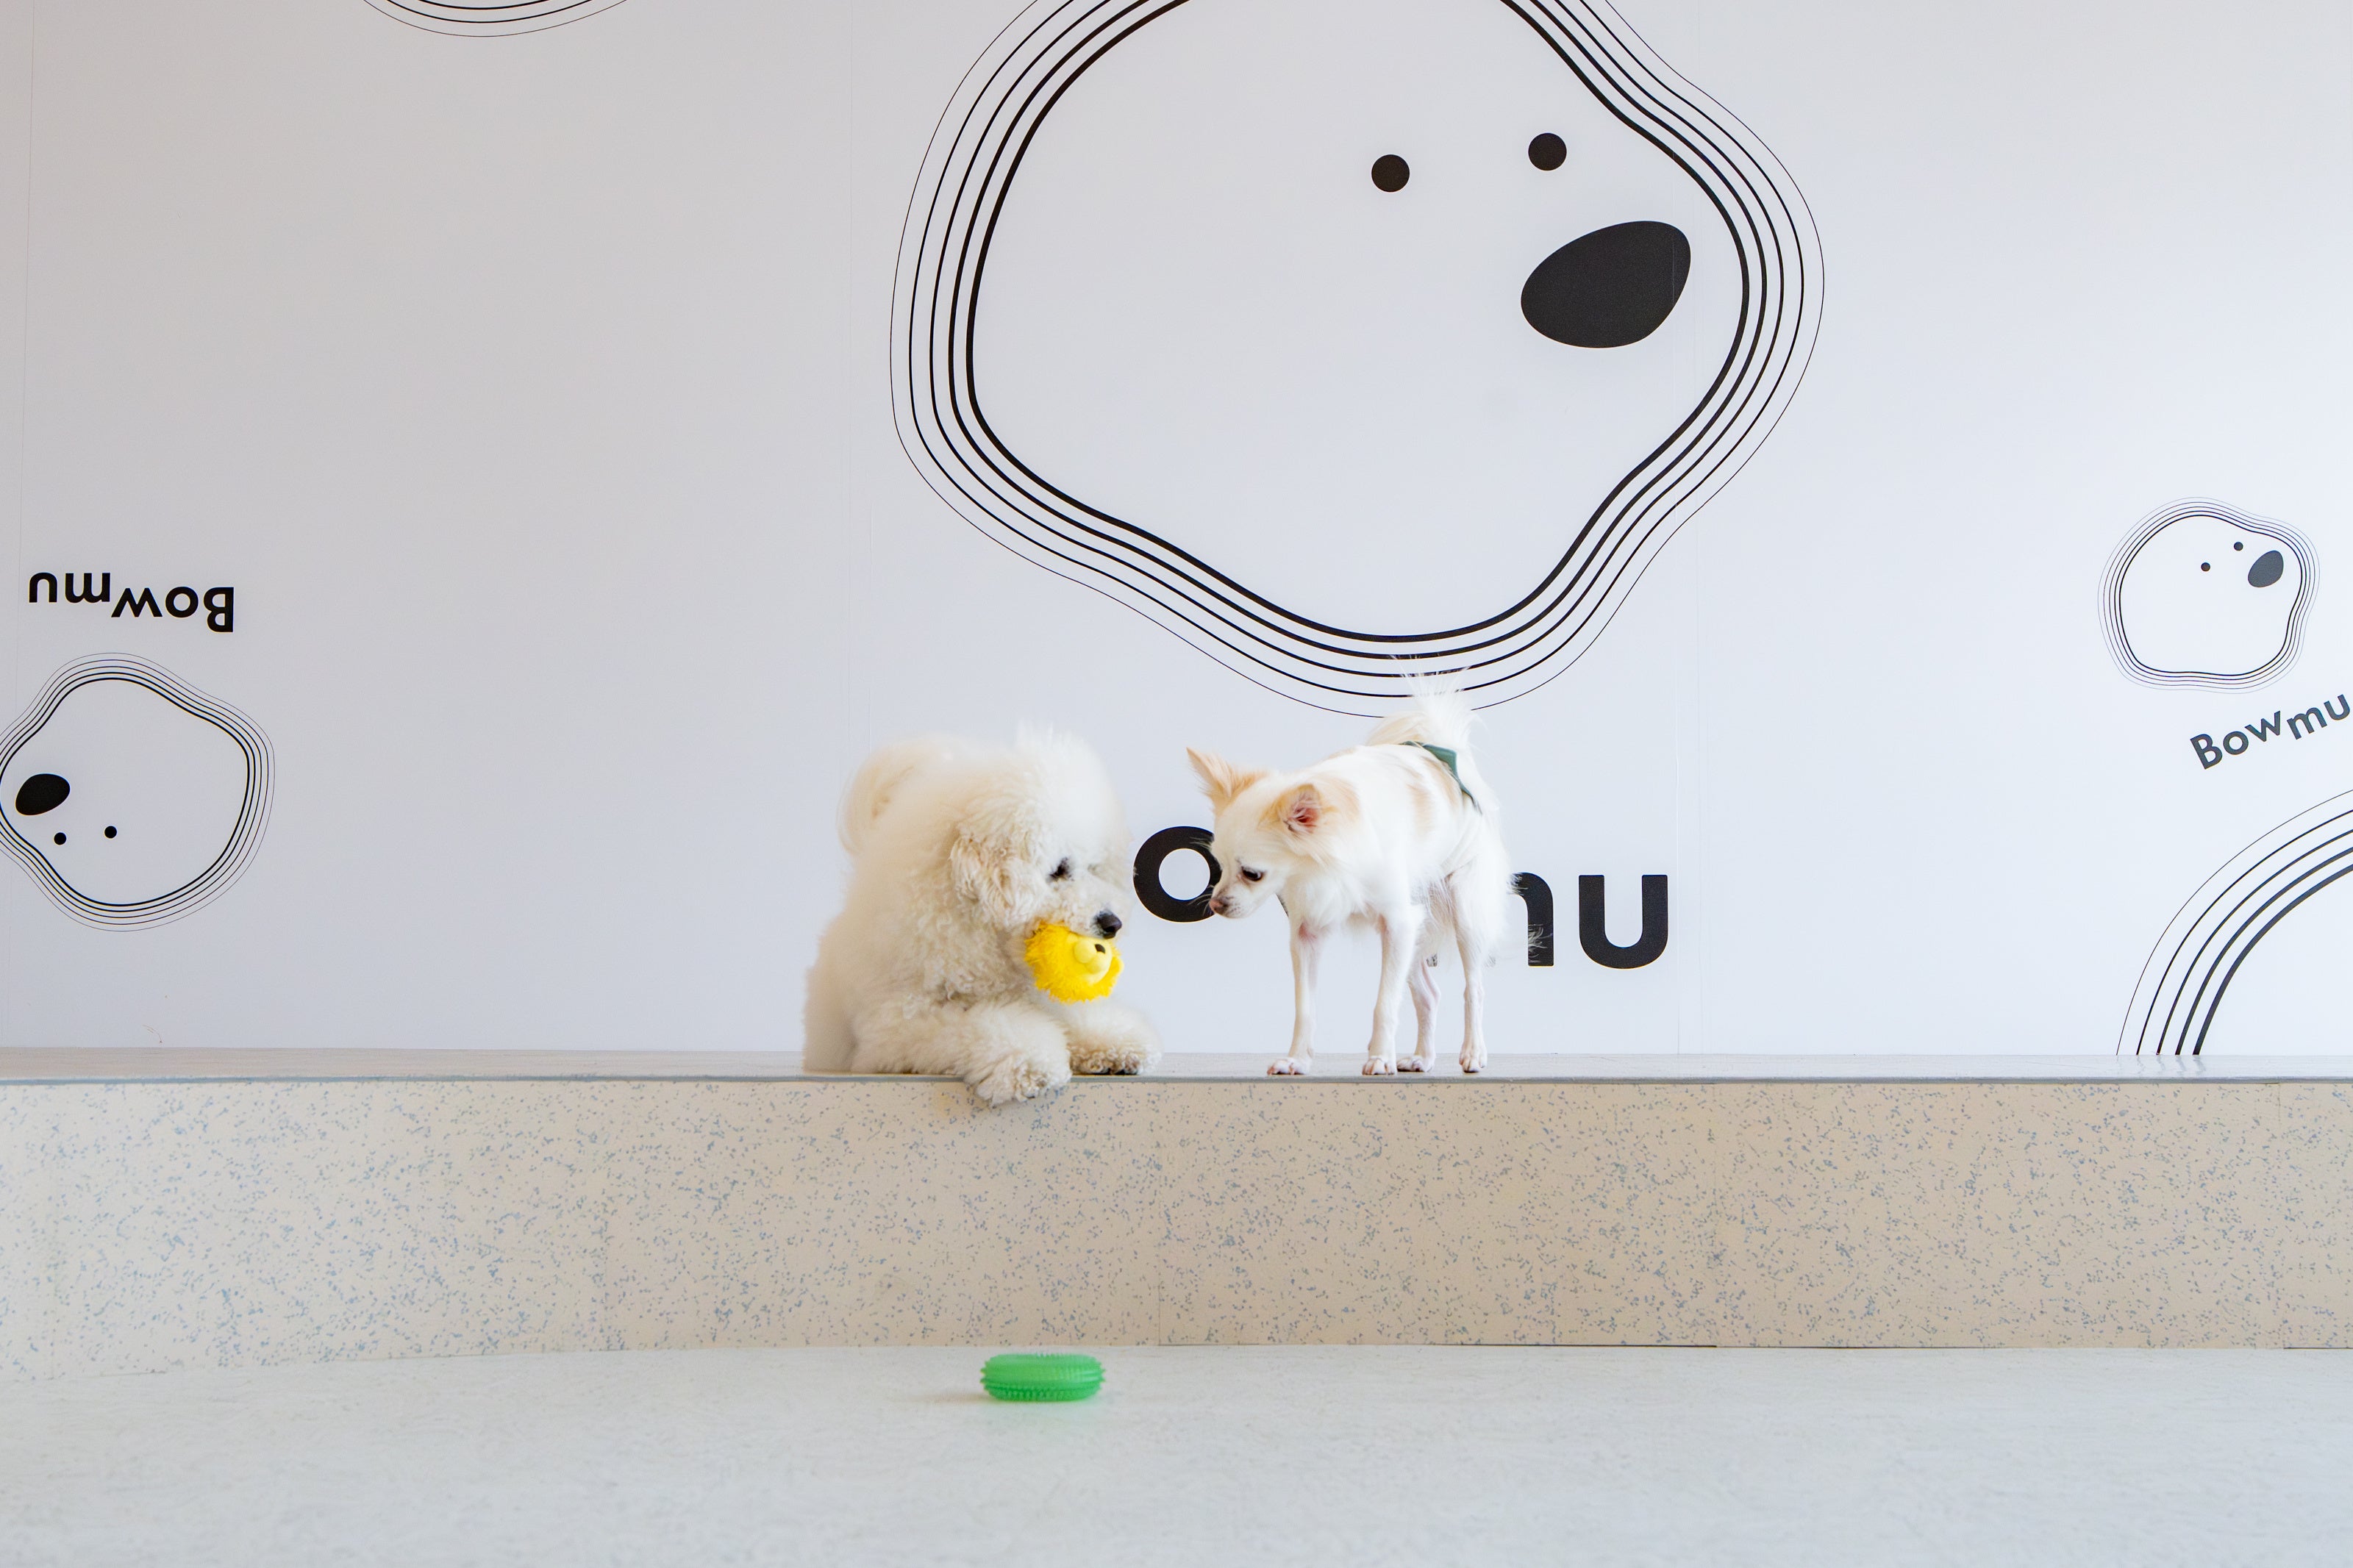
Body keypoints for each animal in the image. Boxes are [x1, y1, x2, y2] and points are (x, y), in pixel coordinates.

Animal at [804, 730, 1161, 1105]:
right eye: (1059, 870)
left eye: (1094, 869)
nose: (1112, 924)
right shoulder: (898, 1027)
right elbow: (983, 1026)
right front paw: (1030, 1062)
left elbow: (1075, 1013)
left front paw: (1117, 1044)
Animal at [1187, 692, 1513, 1076]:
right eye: (1219, 867)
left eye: (1253, 874)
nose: (1216, 905)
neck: (1321, 867)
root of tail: (1441, 753)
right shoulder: (1309, 932)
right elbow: (1305, 1007)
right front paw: (1297, 1059)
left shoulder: (1397, 922)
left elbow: (1385, 1003)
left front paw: (1380, 1057)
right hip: (1415, 931)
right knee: (1428, 995)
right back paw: (1423, 1057)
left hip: (1462, 913)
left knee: (1473, 988)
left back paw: (1473, 1051)